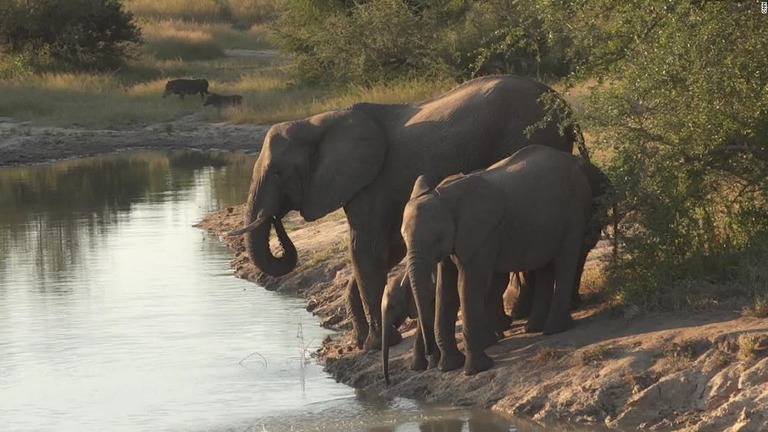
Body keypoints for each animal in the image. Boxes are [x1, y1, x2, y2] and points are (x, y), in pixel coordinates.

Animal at [228, 74, 588, 352]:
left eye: (278, 173)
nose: (274, 218)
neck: (320, 121)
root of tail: (564, 106)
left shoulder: (372, 182)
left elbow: (365, 250)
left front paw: (375, 344)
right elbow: (385, 252)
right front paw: (363, 341)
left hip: (528, 134)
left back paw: (523, 317)